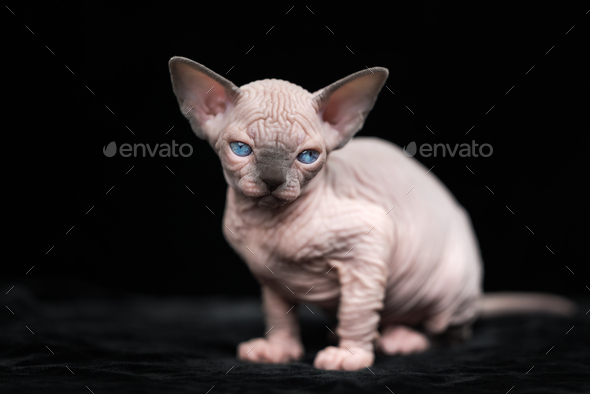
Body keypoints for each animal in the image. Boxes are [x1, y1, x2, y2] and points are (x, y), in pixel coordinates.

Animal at [169, 57, 576, 370]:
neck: (267, 224)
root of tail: (476, 296)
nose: (271, 180)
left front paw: (349, 356)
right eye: (241, 149)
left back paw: (402, 339)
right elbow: (277, 315)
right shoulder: (270, 276)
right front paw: (279, 351)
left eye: (308, 157)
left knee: (448, 331)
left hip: (448, 285)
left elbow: (357, 311)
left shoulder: (368, 245)